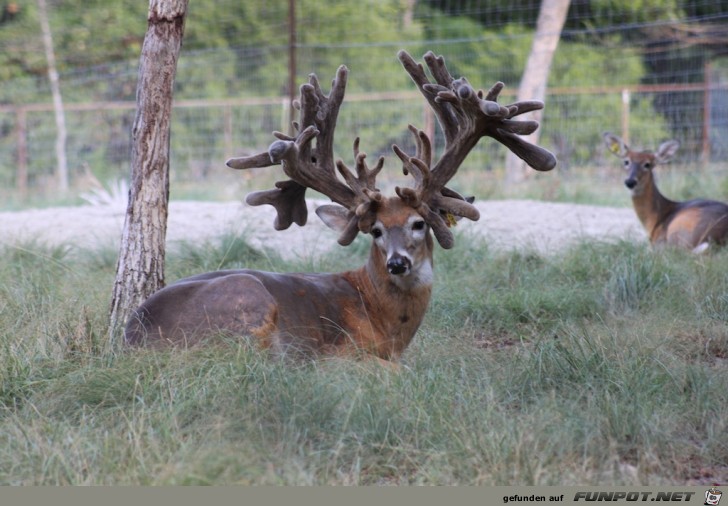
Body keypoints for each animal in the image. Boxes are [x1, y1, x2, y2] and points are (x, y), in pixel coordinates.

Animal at [123, 50, 556, 364]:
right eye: (375, 230)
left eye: (419, 223)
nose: (397, 263)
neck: (383, 319)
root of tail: (133, 337)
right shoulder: (351, 351)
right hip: (247, 300)